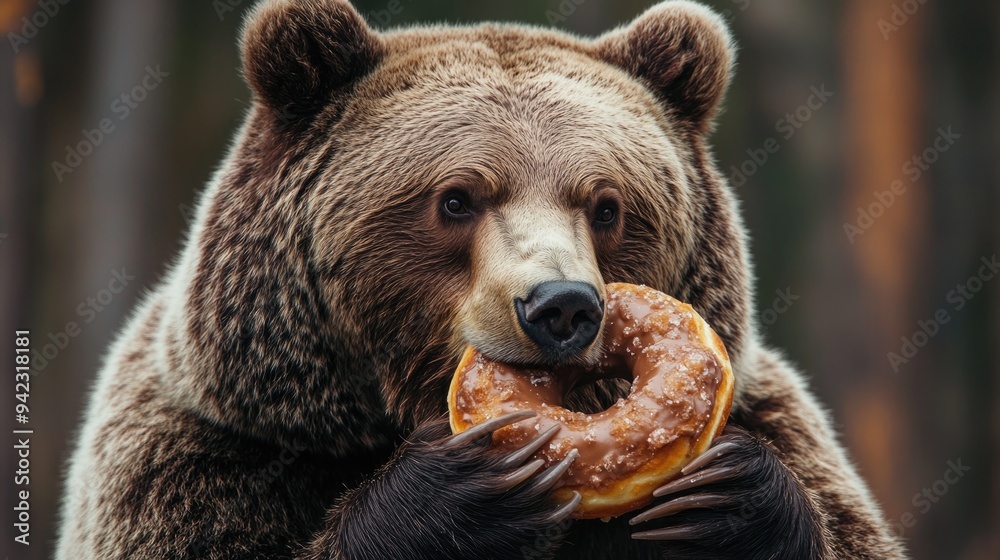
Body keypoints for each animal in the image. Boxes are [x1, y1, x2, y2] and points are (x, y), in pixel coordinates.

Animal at [56, 0, 908, 558]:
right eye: (457, 198)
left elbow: (831, 518)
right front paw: (462, 485)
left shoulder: (782, 421)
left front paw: (730, 495)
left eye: (607, 205)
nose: (562, 307)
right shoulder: (213, 454)